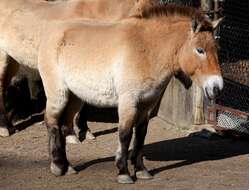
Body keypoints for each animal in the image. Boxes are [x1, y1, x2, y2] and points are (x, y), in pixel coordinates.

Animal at [37, 4, 224, 183]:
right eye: (199, 50)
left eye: (217, 49)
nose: (217, 87)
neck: (147, 50)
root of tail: (52, 33)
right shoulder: (129, 101)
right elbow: (125, 134)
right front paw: (123, 172)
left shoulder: (147, 105)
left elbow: (140, 135)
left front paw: (141, 170)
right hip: (58, 94)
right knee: (51, 122)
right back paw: (57, 166)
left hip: (75, 97)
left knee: (63, 124)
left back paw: (67, 167)